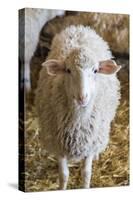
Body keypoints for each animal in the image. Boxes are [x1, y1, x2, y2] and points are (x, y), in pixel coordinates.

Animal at [34, 25, 121, 189]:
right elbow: (63, 175)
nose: (82, 97)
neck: (78, 123)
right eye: (68, 70)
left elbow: (86, 173)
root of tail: (79, 28)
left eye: (95, 70)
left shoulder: (90, 144)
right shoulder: (59, 144)